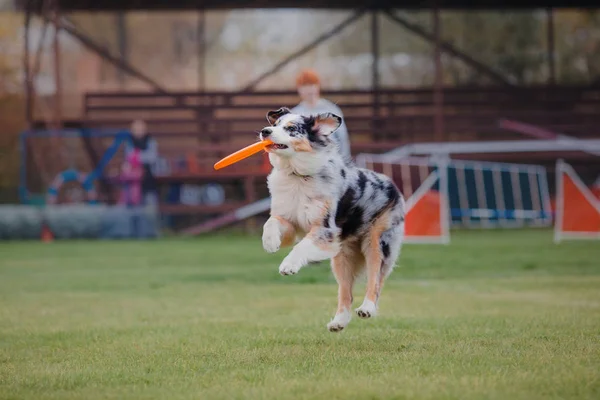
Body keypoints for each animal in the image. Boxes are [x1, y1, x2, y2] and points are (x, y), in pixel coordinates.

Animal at [260, 106, 406, 332]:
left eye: (291, 129)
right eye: (275, 125)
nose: (265, 131)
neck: (297, 175)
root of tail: (392, 184)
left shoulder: (324, 228)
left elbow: (301, 246)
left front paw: (289, 265)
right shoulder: (290, 222)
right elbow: (271, 222)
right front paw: (270, 243)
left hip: (377, 241)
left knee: (376, 279)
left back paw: (367, 308)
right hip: (341, 257)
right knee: (346, 292)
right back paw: (339, 322)